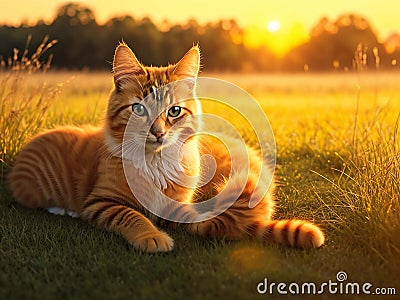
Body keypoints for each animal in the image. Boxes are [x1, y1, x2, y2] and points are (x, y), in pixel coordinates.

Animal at [8, 43, 324, 252]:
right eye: (138, 109)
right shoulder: (102, 201)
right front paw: (153, 237)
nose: (158, 132)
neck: (156, 162)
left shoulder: (175, 206)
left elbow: (201, 218)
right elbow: (131, 215)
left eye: (174, 111)